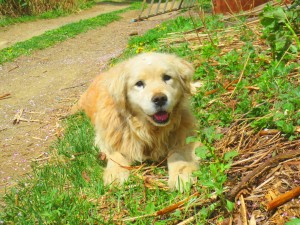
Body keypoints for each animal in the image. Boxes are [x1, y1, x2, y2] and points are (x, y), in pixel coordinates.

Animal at [74, 53, 198, 192]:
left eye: (167, 77)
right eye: (139, 83)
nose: (160, 99)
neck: (146, 128)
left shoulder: (185, 134)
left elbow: (178, 155)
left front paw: (180, 175)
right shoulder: (107, 139)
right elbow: (116, 155)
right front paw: (116, 174)